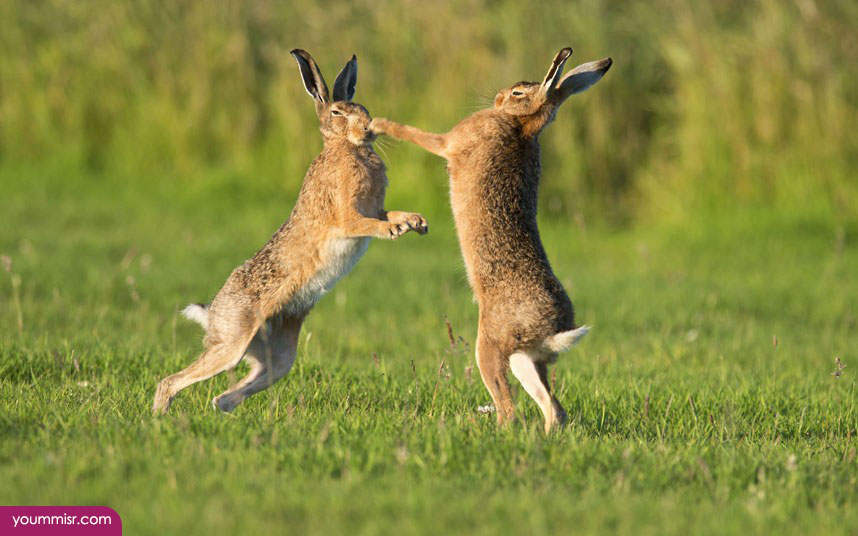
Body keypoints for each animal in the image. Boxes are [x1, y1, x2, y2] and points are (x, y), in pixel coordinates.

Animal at [152, 50, 428, 415]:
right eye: (338, 112)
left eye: (363, 108)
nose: (369, 128)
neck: (346, 148)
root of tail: (211, 313)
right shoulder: (346, 216)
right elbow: (365, 224)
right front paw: (395, 228)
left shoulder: (373, 207)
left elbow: (388, 212)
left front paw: (415, 221)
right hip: (232, 344)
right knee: (171, 382)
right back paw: (159, 417)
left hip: (278, 358)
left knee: (225, 397)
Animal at [371, 47, 610, 433]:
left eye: (517, 93)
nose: (498, 98)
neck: (522, 126)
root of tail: (551, 330)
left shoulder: (452, 140)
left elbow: (421, 136)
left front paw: (378, 123)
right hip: (524, 358)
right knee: (552, 407)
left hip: (489, 347)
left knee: (509, 408)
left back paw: (486, 429)